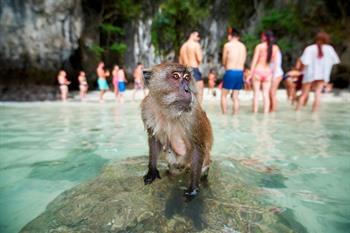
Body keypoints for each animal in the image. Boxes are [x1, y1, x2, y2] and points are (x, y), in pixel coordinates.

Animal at [140, 62, 213, 198]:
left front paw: (193, 189)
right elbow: (154, 139)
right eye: (175, 76)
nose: (187, 90)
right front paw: (152, 170)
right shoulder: (147, 108)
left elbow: (197, 146)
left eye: (187, 77)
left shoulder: (193, 115)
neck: (167, 109)